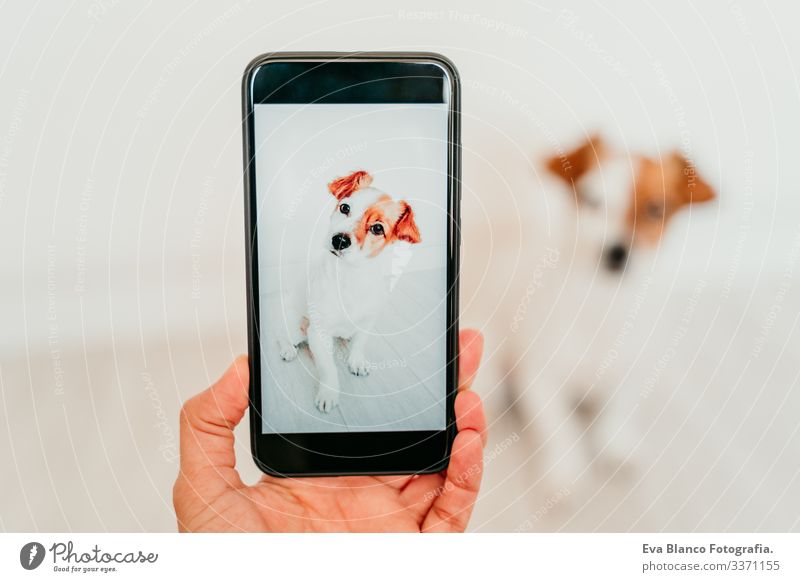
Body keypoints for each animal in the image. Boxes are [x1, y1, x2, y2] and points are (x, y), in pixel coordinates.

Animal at [274, 171, 422, 412]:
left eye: (377, 228)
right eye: (345, 207)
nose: (340, 240)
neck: (350, 278)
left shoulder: (367, 323)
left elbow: (359, 345)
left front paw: (357, 361)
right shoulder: (319, 332)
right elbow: (328, 369)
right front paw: (328, 393)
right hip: (296, 327)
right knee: (282, 336)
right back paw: (287, 349)